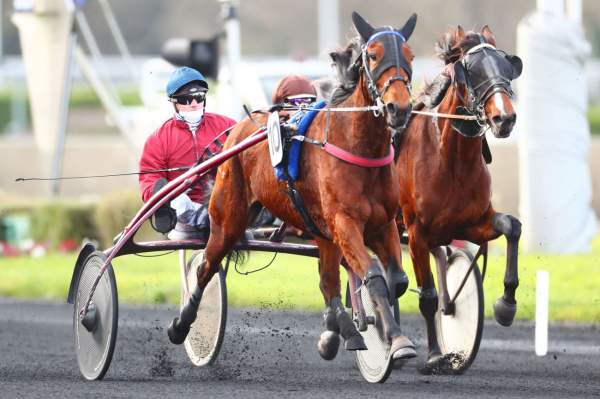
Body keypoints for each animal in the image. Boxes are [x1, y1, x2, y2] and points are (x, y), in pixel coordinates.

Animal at [165, 11, 422, 362]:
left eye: (410, 56)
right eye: (372, 55)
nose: (399, 108)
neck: (357, 147)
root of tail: (241, 126)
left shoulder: (382, 225)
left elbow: (396, 280)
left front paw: (383, 333)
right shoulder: (345, 224)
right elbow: (374, 276)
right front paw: (394, 339)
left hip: (320, 232)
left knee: (328, 283)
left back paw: (341, 331)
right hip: (228, 221)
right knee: (205, 265)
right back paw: (182, 324)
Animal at [396, 25, 524, 372]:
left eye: (507, 66)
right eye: (474, 71)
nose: (504, 118)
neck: (450, 159)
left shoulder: (470, 223)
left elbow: (512, 227)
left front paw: (505, 304)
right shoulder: (416, 233)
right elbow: (428, 297)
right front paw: (435, 354)